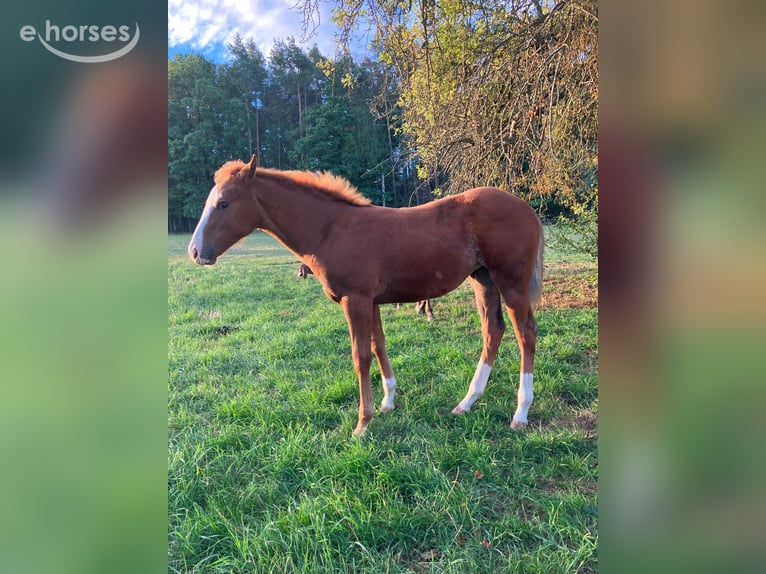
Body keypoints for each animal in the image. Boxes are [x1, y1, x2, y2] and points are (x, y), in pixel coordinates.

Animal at [188, 156, 543, 436]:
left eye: (223, 203)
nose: (195, 252)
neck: (330, 230)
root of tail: (527, 209)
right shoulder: (371, 301)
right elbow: (378, 345)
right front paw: (388, 402)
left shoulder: (355, 299)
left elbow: (360, 356)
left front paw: (362, 422)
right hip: (483, 280)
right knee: (493, 330)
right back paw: (466, 403)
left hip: (510, 281)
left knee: (525, 333)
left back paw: (520, 413)